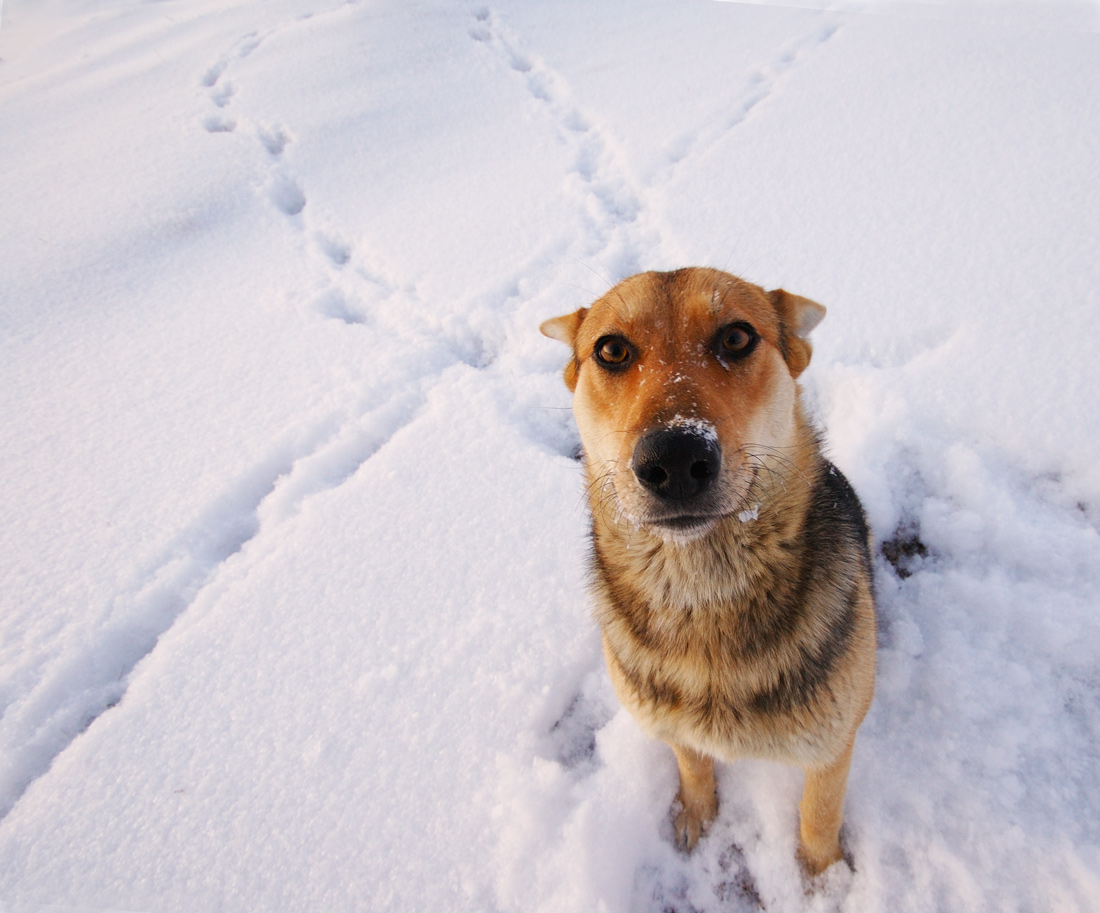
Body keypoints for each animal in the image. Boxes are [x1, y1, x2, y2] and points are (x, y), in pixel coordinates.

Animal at [541, 266, 875, 880]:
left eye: (737, 338)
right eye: (611, 350)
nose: (674, 460)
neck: (704, 595)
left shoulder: (833, 743)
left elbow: (818, 814)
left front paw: (823, 878)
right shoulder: (672, 724)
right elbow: (692, 766)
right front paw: (697, 815)